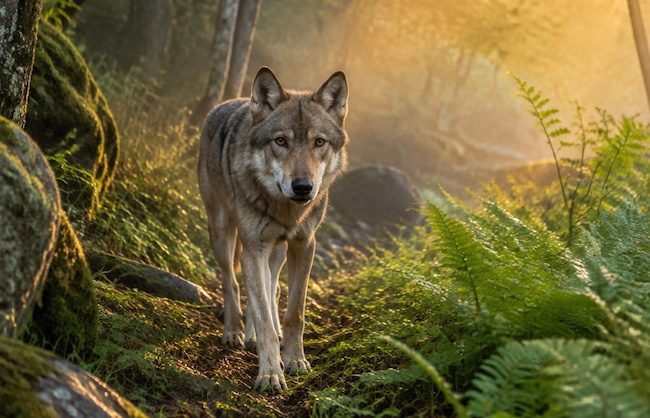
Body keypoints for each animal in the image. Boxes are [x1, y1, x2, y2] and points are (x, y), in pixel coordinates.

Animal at [198, 67, 348, 392]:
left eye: (319, 142)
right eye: (280, 141)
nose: (303, 187)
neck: (287, 211)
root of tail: (228, 101)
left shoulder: (305, 244)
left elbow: (294, 313)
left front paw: (295, 360)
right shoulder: (254, 247)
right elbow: (262, 314)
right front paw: (269, 375)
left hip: (276, 251)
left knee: (271, 288)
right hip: (222, 233)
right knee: (232, 283)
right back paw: (235, 332)